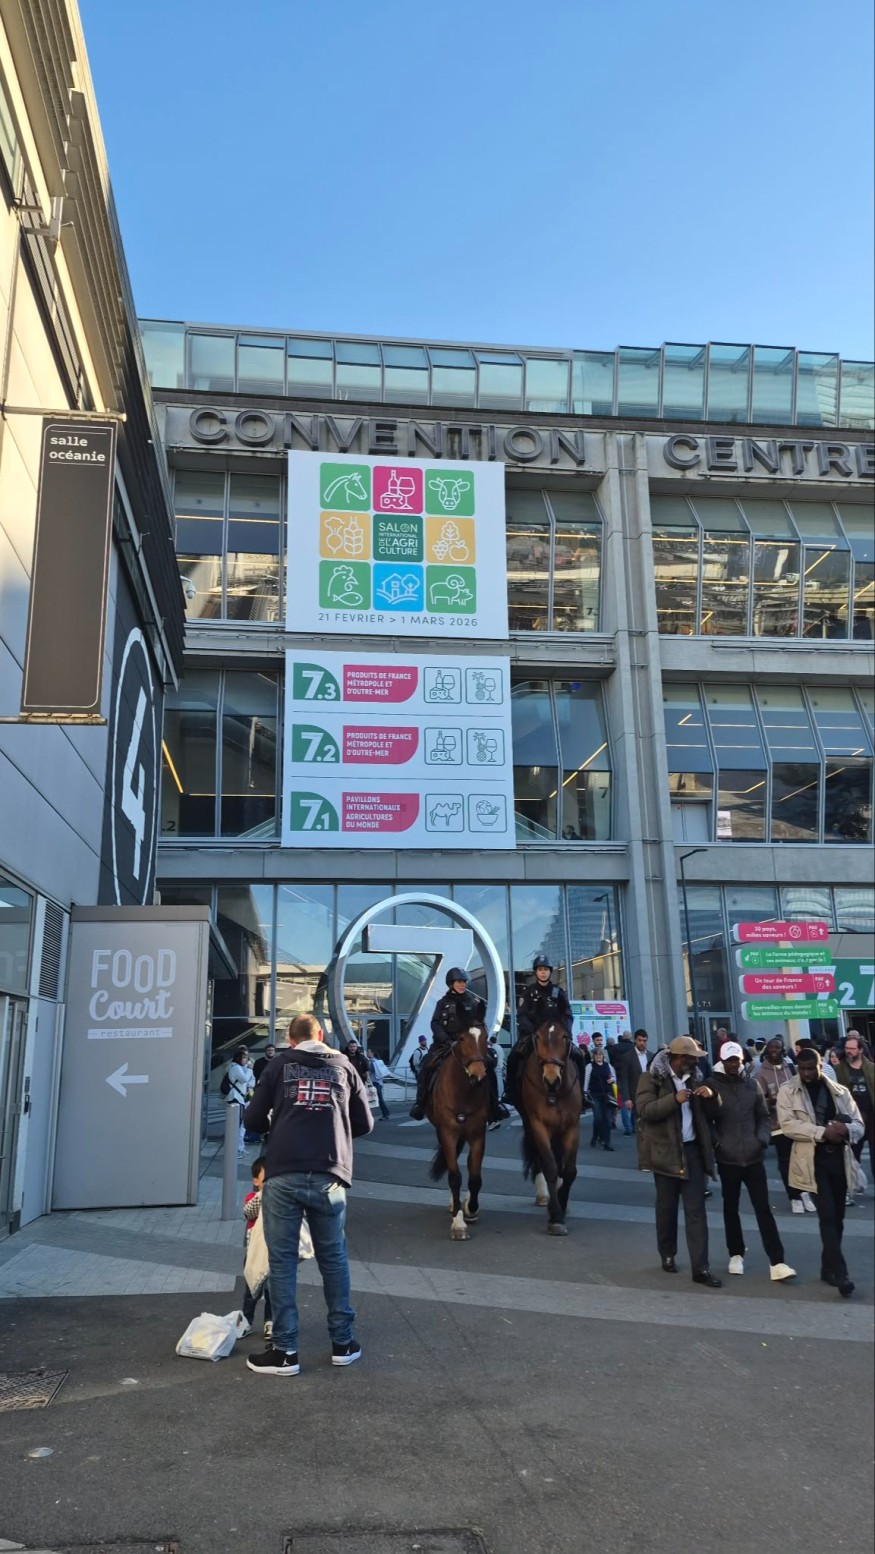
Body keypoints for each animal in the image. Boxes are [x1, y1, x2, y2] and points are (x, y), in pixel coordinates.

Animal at [425, 1022, 490, 1241]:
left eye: (486, 1038)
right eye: (461, 1039)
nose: (478, 1075)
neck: (464, 1090)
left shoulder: (478, 1134)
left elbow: (475, 1177)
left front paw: (471, 1208)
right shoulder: (448, 1134)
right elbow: (455, 1176)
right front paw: (458, 1222)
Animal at [517, 1020, 581, 1235]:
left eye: (565, 1036)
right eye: (536, 1037)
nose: (551, 1080)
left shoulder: (572, 1126)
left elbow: (569, 1171)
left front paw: (563, 1202)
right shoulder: (539, 1126)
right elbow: (550, 1168)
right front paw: (555, 1216)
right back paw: (544, 1196)